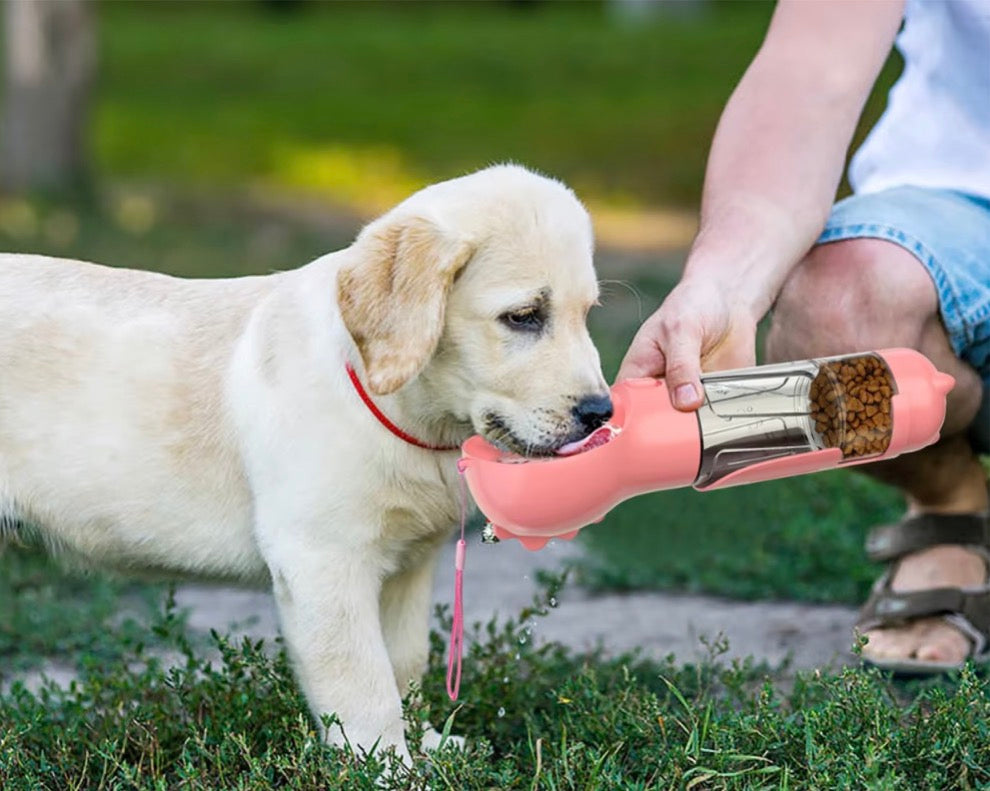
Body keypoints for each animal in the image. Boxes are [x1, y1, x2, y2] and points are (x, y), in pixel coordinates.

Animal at [0, 164, 612, 764]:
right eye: (524, 317)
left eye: (587, 315)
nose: (601, 413)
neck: (403, 411)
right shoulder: (323, 560)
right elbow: (364, 682)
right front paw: (387, 766)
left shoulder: (410, 566)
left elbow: (404, 662)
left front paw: (428, 746)